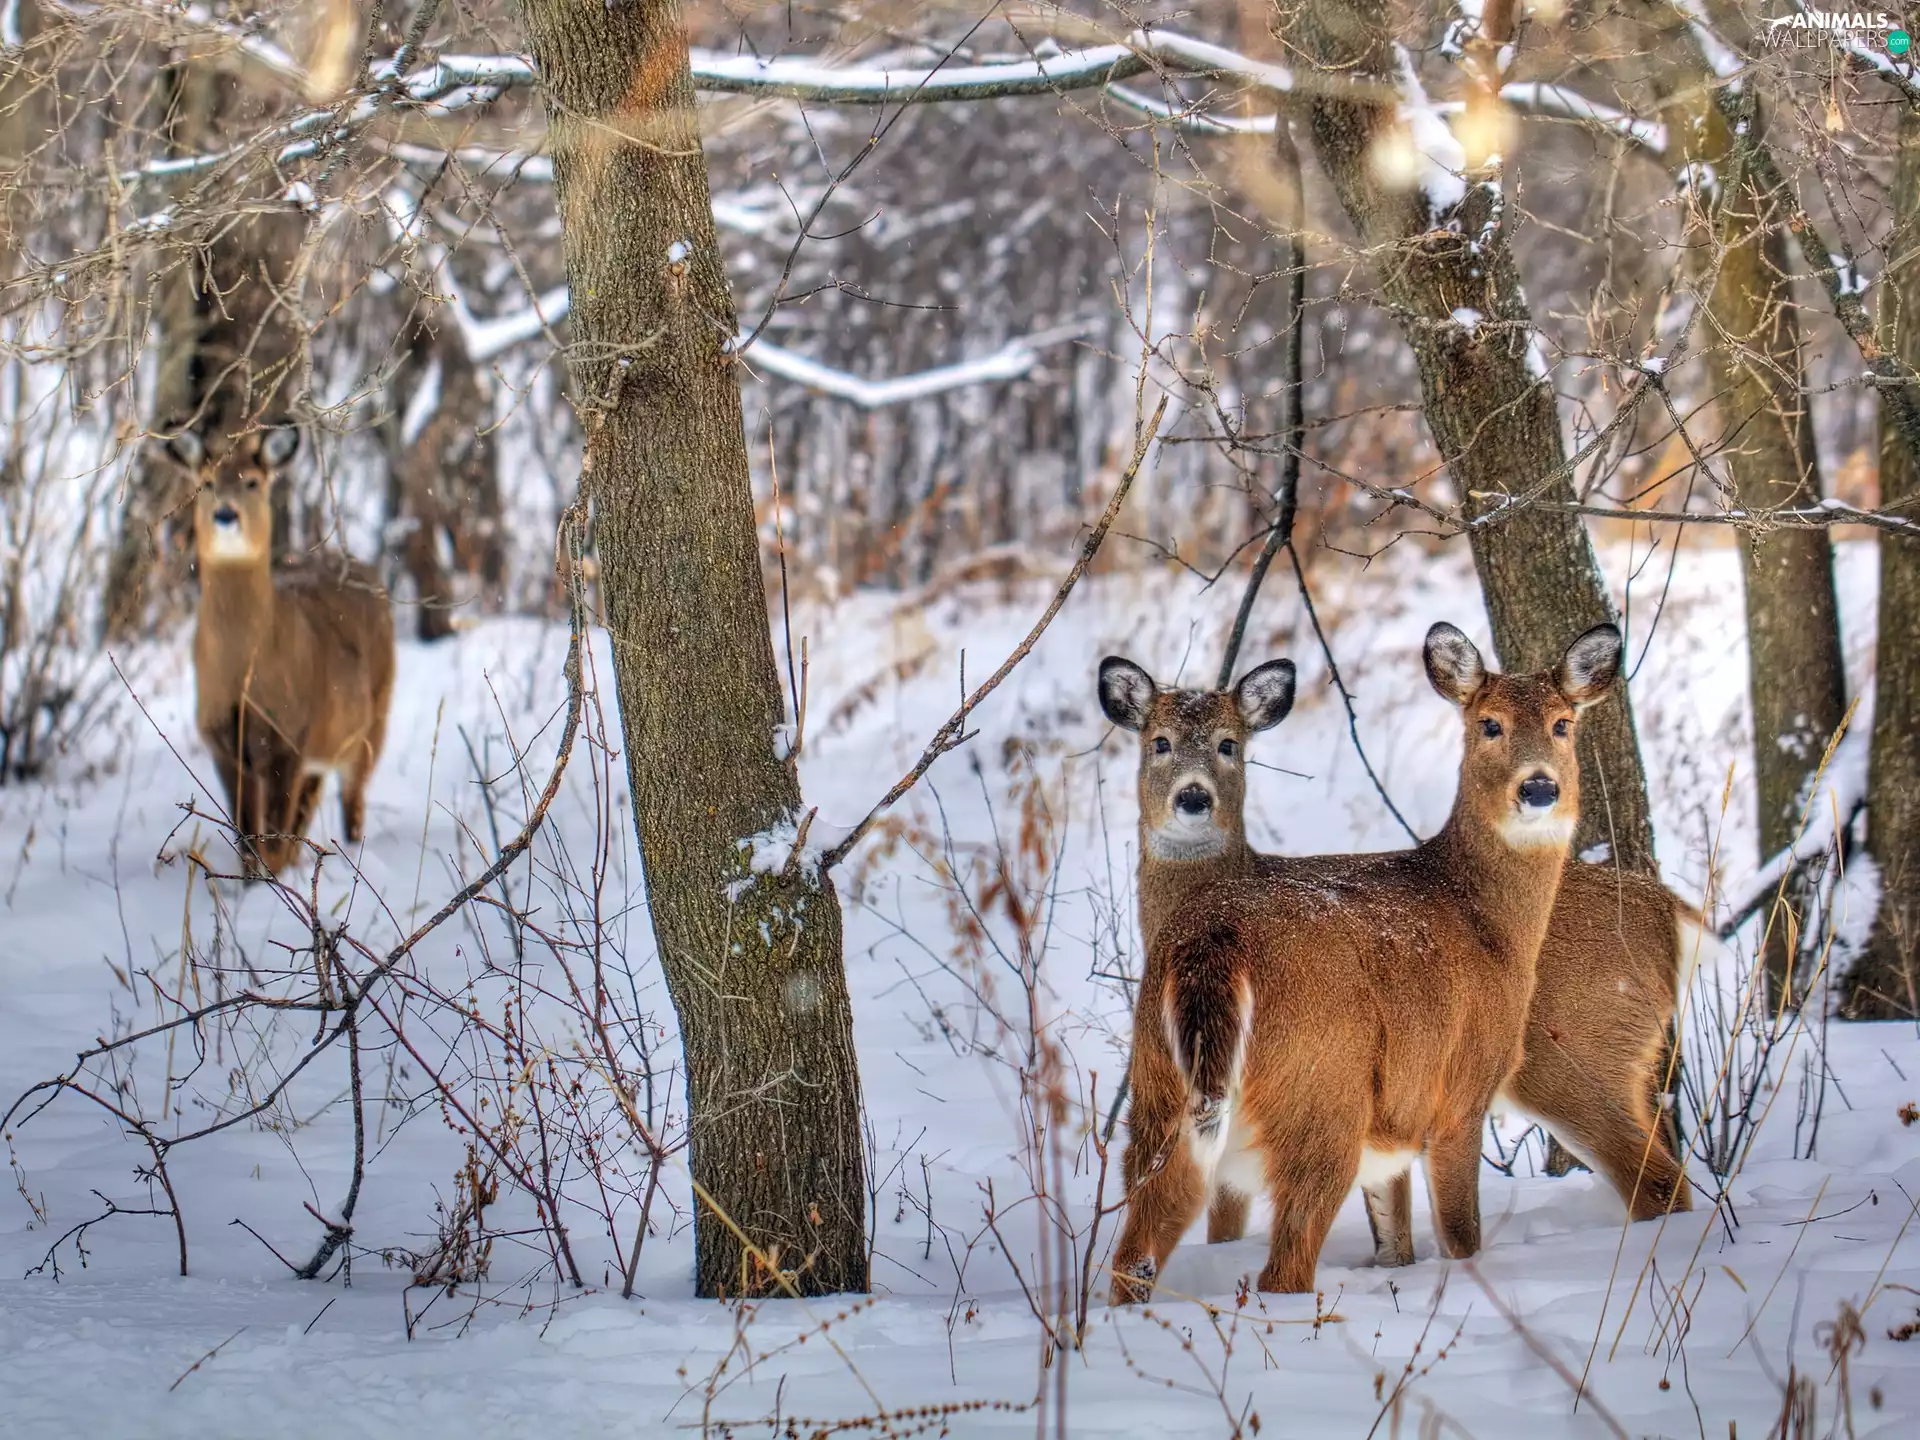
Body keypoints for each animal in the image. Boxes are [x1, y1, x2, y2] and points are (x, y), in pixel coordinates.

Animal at [172, 425, 396, 878]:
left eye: (253, 482)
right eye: (207, 482)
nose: (226, 515)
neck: (243, 671)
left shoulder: (287, 733)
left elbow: (271, 842)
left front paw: (270, 886)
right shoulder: (221, 739)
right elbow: (247, 837)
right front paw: (250, 883)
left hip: (372, 721)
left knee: (353, 800)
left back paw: (354, 852)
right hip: (324, 746)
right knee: (309, 809)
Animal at [1098, 621, 1629, 1301]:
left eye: (1563, 724)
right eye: (1489, 724)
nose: (1539, 787)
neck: (1485, 920)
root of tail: (1214, 940)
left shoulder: (1393, 1126)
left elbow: (1395, 1242)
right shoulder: (1459, 1089)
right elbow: (1462, 1236)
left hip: (1156, 1089)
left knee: (1138, 1245)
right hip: (1321, 1099)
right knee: (1283, 1267)